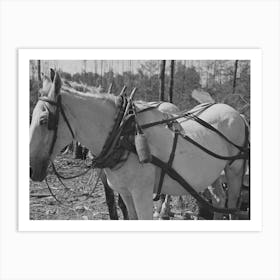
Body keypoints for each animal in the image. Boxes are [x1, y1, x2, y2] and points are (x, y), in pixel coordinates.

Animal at [30, 70, 248, 219]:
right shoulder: (126, 192)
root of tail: (238, 114)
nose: (31, 170)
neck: (122, 135)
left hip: (235, 169)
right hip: (213, 173)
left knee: (233, 207)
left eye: (43, 120)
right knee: (219, 200)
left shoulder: (142, 193)